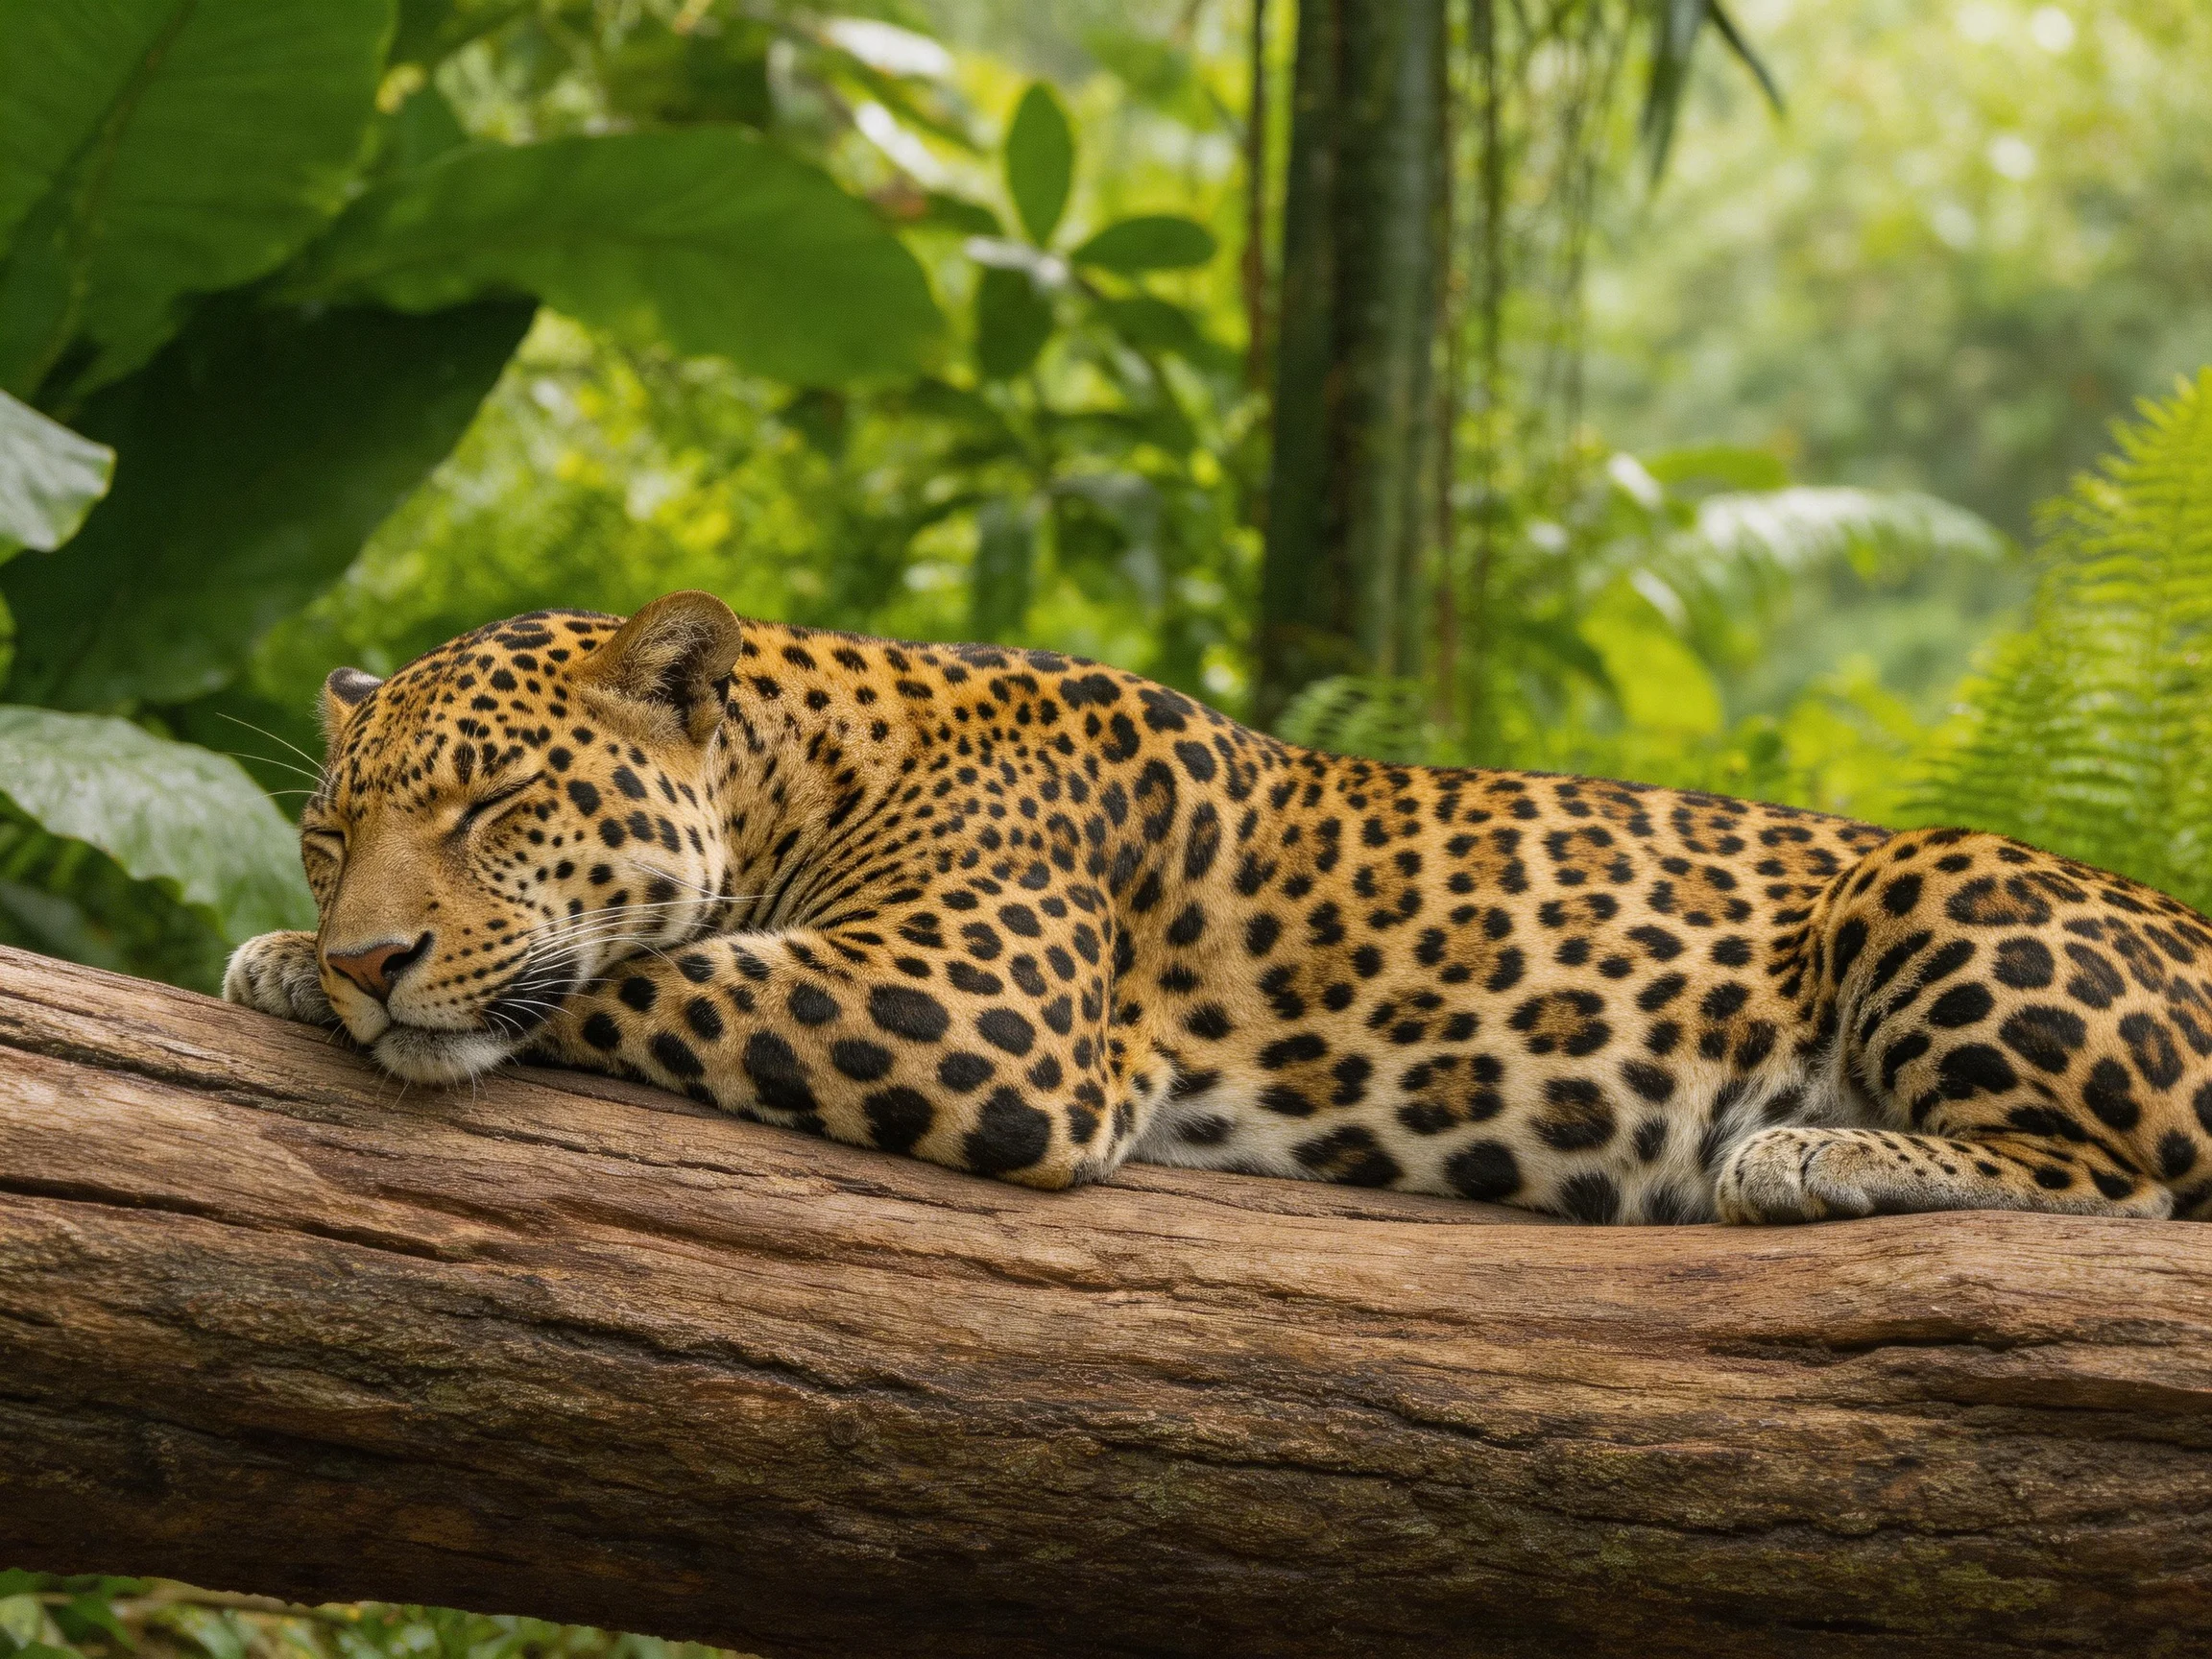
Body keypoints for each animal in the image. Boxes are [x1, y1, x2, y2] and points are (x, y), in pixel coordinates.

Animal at [224, 590, 2212, 1224]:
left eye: (498, 804)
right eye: (328, 833)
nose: (368, 950)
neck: (810, 766)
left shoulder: (984, 1014)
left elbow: (645, 974)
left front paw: (325, 983)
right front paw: (284, 958)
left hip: (1926, 878)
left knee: (2131, 1188)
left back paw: (1806, 1150)